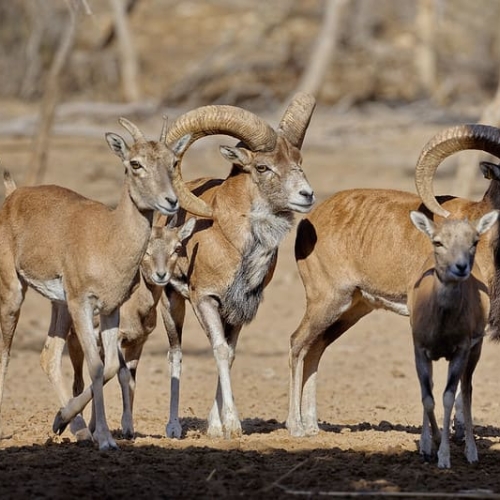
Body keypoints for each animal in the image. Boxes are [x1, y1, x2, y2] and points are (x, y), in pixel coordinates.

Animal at [408, 210, 498, 468]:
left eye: (474, 241)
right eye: (438, 242)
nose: (461, 267)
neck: (441, 328)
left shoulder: (461, 349)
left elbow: (448, 397)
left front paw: (444, 457)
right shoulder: (419, 348)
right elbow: (427, 396)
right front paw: (429, 446)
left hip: (475, 350)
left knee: (466, 390)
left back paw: (471, 452)